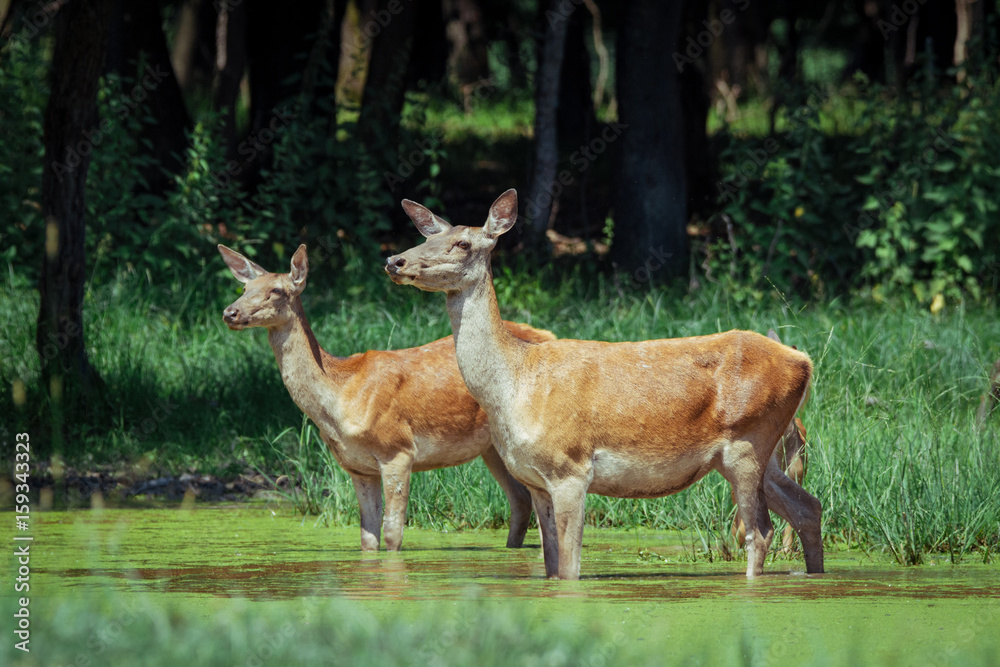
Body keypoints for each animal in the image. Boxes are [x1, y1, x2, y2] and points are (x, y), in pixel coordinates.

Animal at [218, 243, 556, 552]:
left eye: (276, 290)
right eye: (245, 287)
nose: (230, 312)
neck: (340, 396)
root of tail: (549, 334)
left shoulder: (397, 449)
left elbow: (393, 536)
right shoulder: (357, 467)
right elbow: (368, 540)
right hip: (492, 448)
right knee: (521, 501)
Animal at [385, 190, 824, 580]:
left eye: (462, 242)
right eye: (427, 237)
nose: (395, 259)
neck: (514, 385)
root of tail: (803, 361)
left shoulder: (570, 467)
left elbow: (570, 565)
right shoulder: (535, 479)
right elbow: (551, 565)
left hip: (748, 441)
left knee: (761, 530)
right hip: (765, 450)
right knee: (808, 507)